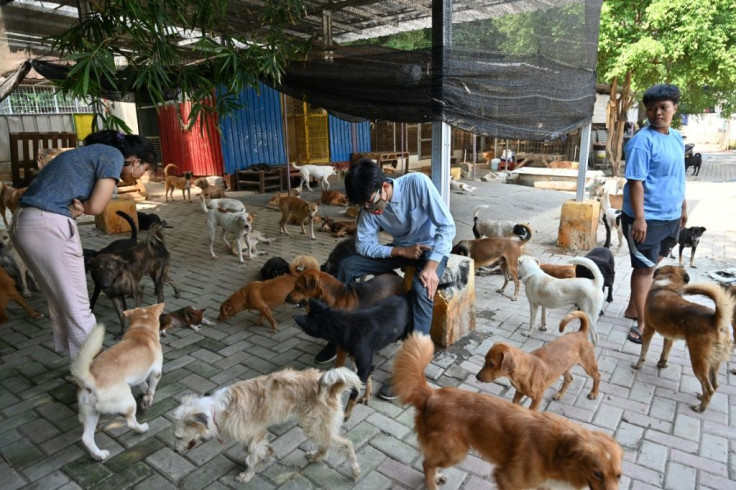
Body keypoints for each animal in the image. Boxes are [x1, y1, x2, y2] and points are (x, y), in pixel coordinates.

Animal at [70, 304, 165, 462]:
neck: (142, 329)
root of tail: (93, 380)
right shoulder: (156, 371)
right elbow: (151, 389)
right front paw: (147, 400)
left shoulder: (139, 377)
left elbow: (143, 385)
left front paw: (145, 395)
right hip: (129, 403)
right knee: (131, 423)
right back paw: (142, 428)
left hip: (91, 413)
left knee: (87, 438)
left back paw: (98, 455)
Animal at [175, 368, 366, 482]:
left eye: (178, 437)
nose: (176, 451)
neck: (217, 410)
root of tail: (332, 386)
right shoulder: (254, 435)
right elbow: (253, 450)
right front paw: (265, 454)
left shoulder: (256, 433)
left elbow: (251, 456)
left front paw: (247, 475)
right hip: (318, 427)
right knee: (326, 445)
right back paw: (316, 456)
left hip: (315, 426)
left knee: (346, 444)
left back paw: (355, 470)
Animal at [294, 294, 412, 422]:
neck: (343, 325)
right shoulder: (361, 362)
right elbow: (368, 380)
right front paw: (366, 396)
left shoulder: (364, 365)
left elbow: (354, 392)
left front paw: (346, 413)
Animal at [394, 334, 624, 490]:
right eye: (597, 474)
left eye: (619, 476)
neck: (556, 449)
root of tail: (433, 394)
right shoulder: (507, 478)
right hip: (455, 451)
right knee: (426, 463)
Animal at [628, 266, 732, 412]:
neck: (667, 286)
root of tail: (715, 320)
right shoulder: (669, 337)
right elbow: (664, 352)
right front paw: (662, 364)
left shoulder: (648, 330)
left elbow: (643, 353)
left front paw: (638, 365)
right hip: (714, 362)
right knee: (715, 384)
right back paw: (702, 397)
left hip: (699, 361)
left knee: (709, 388)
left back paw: (700, 408)